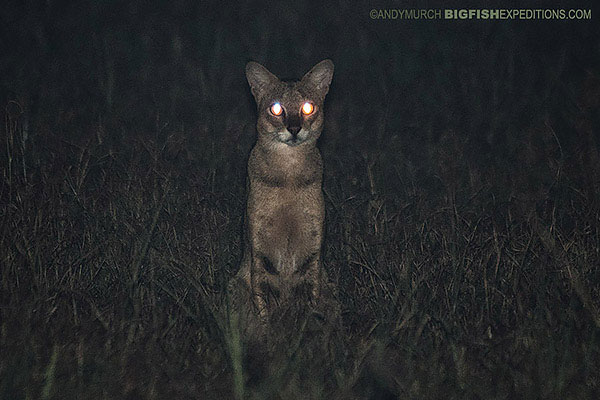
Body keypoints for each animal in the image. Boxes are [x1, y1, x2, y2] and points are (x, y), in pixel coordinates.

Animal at [231, 59, 332, 328]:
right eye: (276, 109)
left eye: (308, 107)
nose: (294, 128)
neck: (289, 179)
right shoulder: (259, 249)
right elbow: (261, 299)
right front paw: (266, 329)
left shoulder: (314, 249)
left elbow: (312, 298)